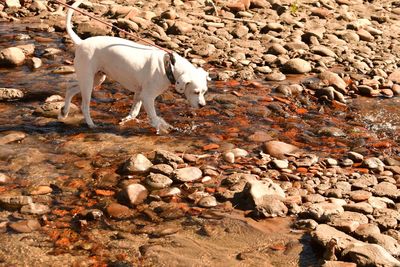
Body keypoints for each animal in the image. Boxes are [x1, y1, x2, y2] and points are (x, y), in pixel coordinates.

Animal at [60, 0, 209, 134]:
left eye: (204, 92)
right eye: (196, 92)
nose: (202, 106)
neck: (169, 66)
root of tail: (80, 42)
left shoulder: (139, 94)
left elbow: (134, 112)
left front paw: (126, 120)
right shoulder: (148, 97)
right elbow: (154, 117)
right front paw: (163, 127)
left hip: (95, 79)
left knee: (71, 87)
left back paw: (64, 111)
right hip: (88, 81)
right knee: (84, 105)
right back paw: (90, 124)